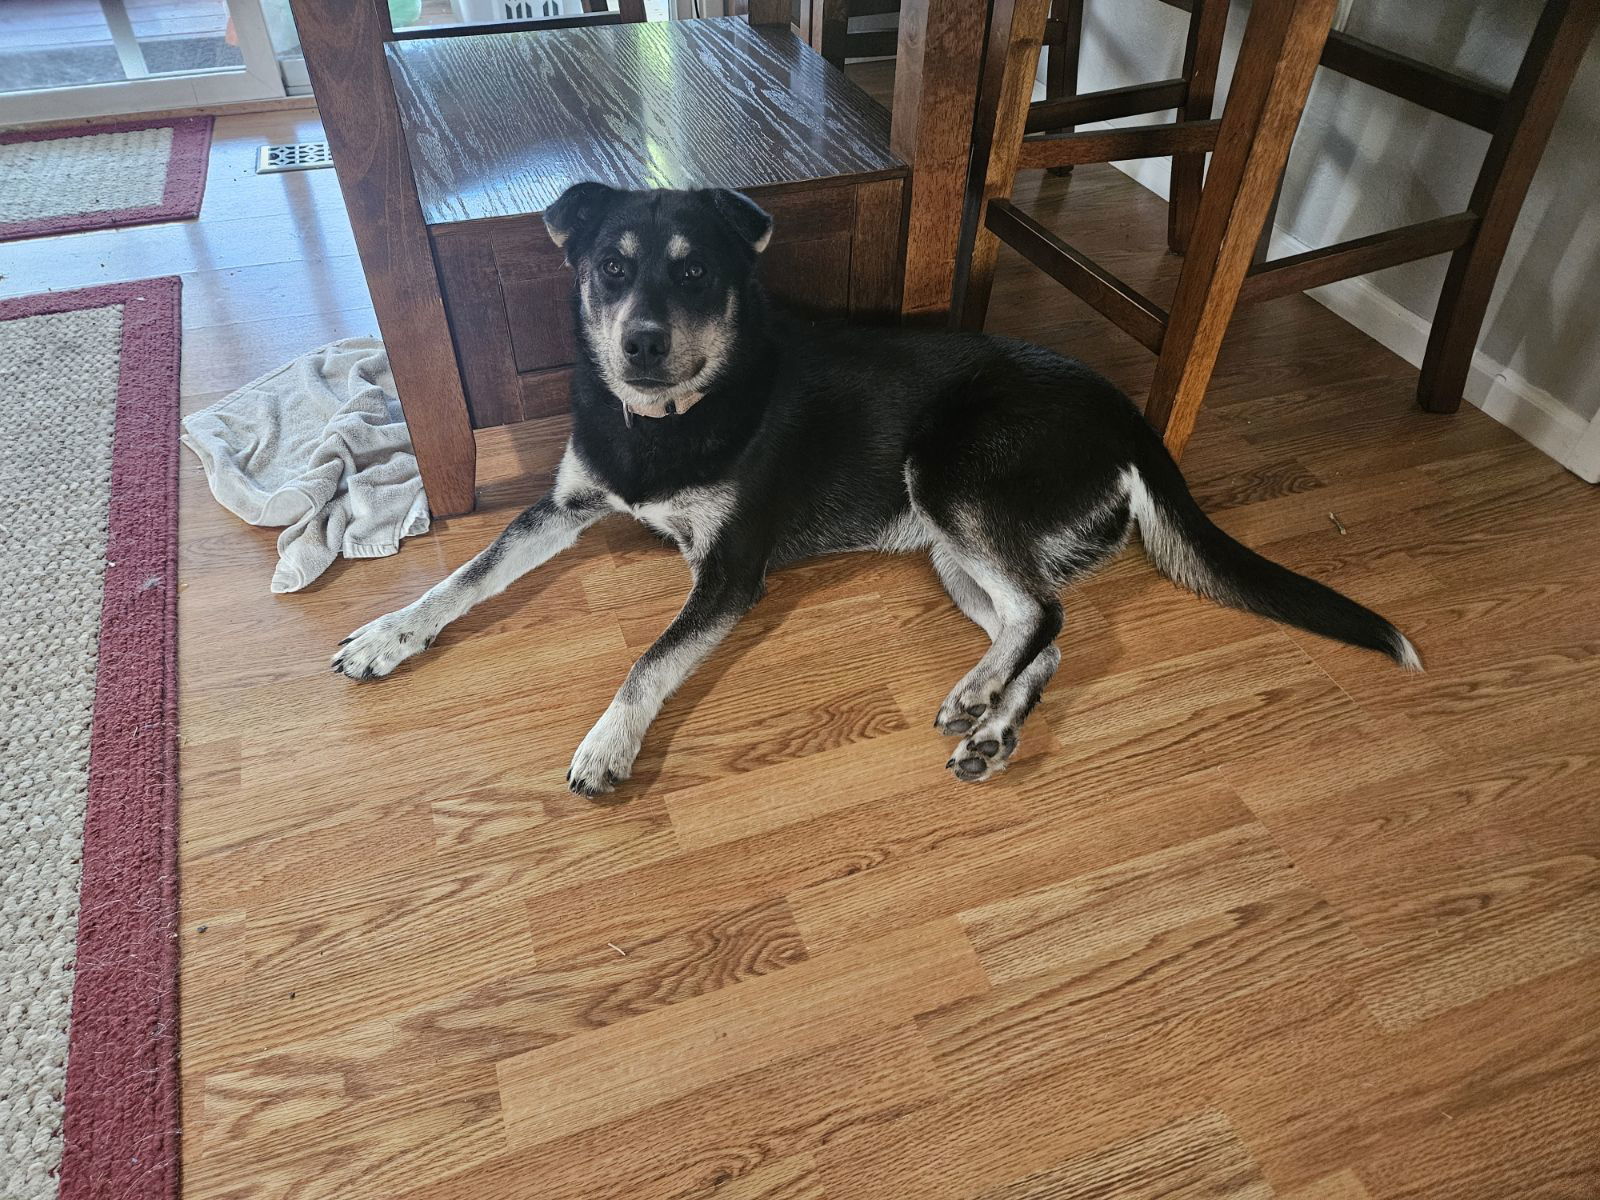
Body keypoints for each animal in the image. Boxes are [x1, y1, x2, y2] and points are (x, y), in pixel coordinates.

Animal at [331, 183, 1420, 793]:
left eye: (695, 275)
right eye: (610, 268)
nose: (639, 344)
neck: (670, 418)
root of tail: (1128, 415)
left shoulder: (729, 575)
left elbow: (648, 660)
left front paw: (608, 744)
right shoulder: (561, 508)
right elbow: (463, 578)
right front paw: (386, 636)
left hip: (947, 477)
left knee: (1046, 614)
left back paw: (980, 698)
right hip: (952, 553)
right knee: (1047, 631)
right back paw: (994, 726)